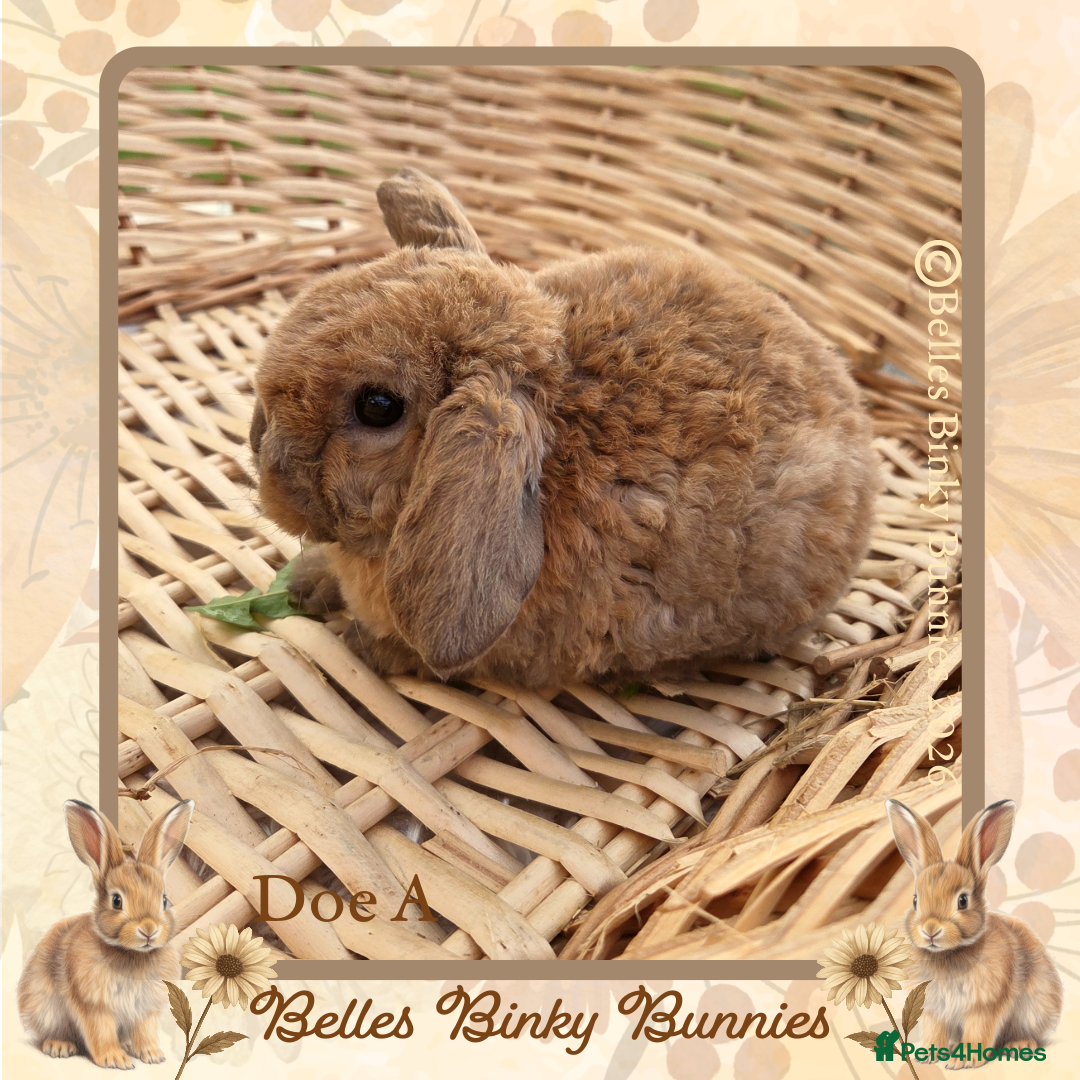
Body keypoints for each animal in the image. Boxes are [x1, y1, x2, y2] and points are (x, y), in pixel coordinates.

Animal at [17, 798, 195, 1069]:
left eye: (164, 900)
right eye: (117, 901)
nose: (149, 930)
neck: (132, 954)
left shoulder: (145, 1009)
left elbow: (145, 1031)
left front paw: (153, 1055)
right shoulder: (95, 1005)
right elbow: (101, 1031)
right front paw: (115, 1060)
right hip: (46, 1008)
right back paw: (59, 1046)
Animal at [885, 798, 1063, 1066]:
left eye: (962, 901)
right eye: (915, 900)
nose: (930, 930)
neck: (949, 954)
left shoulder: (984, 1005)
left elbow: (978, 1030)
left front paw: (963, 1061)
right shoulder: (935, 1009)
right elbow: (934, 1031)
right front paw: (927, 1056)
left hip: (1034, 1009)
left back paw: (1019, 1045)